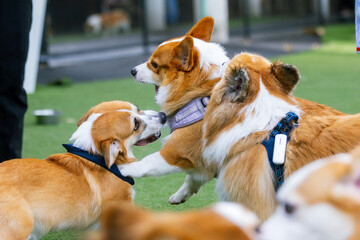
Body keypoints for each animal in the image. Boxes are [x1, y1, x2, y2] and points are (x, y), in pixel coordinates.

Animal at [119, 16, 229, 203]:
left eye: (154, 64)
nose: (132, 71)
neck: (201, 89)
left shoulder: (175, 151)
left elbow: (146, 163)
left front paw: (125, 169)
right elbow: (191, 179)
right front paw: (179, 196)